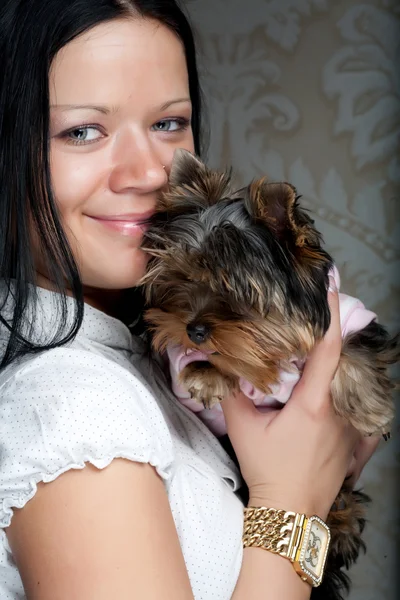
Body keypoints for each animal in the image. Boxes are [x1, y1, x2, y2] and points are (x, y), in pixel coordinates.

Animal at [140, 148, 396, 596]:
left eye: (235, 292)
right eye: (184, 279)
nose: (194, 329)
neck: (269, 357)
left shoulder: (350, 316)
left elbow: (355, 347)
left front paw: (368, 408)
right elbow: (198, 367)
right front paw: (206, 371)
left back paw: (343, 521)